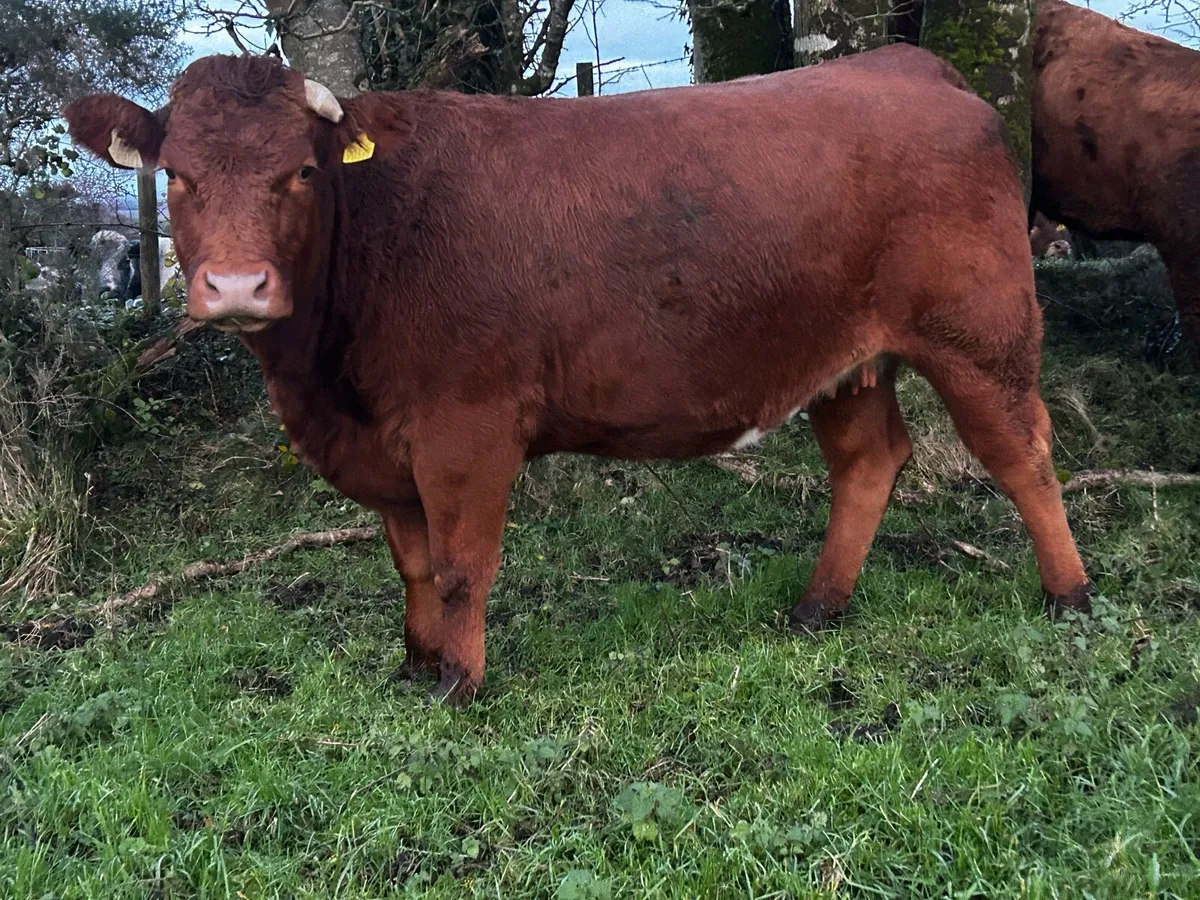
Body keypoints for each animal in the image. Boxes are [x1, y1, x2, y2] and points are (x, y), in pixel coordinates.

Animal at [63, 48, 1092, 706]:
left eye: (303, 174)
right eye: (179, 175)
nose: (237, 286)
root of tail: (908, 67)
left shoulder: (467, 427)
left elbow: (461, 564)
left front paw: (458, 683)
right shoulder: (387, 445)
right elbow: (411, 561)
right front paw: (413, 665)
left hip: (980, 334)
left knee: (1024, 453)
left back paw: (1070, 596)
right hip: (845, 361)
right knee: (870, 459)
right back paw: (816, 608)